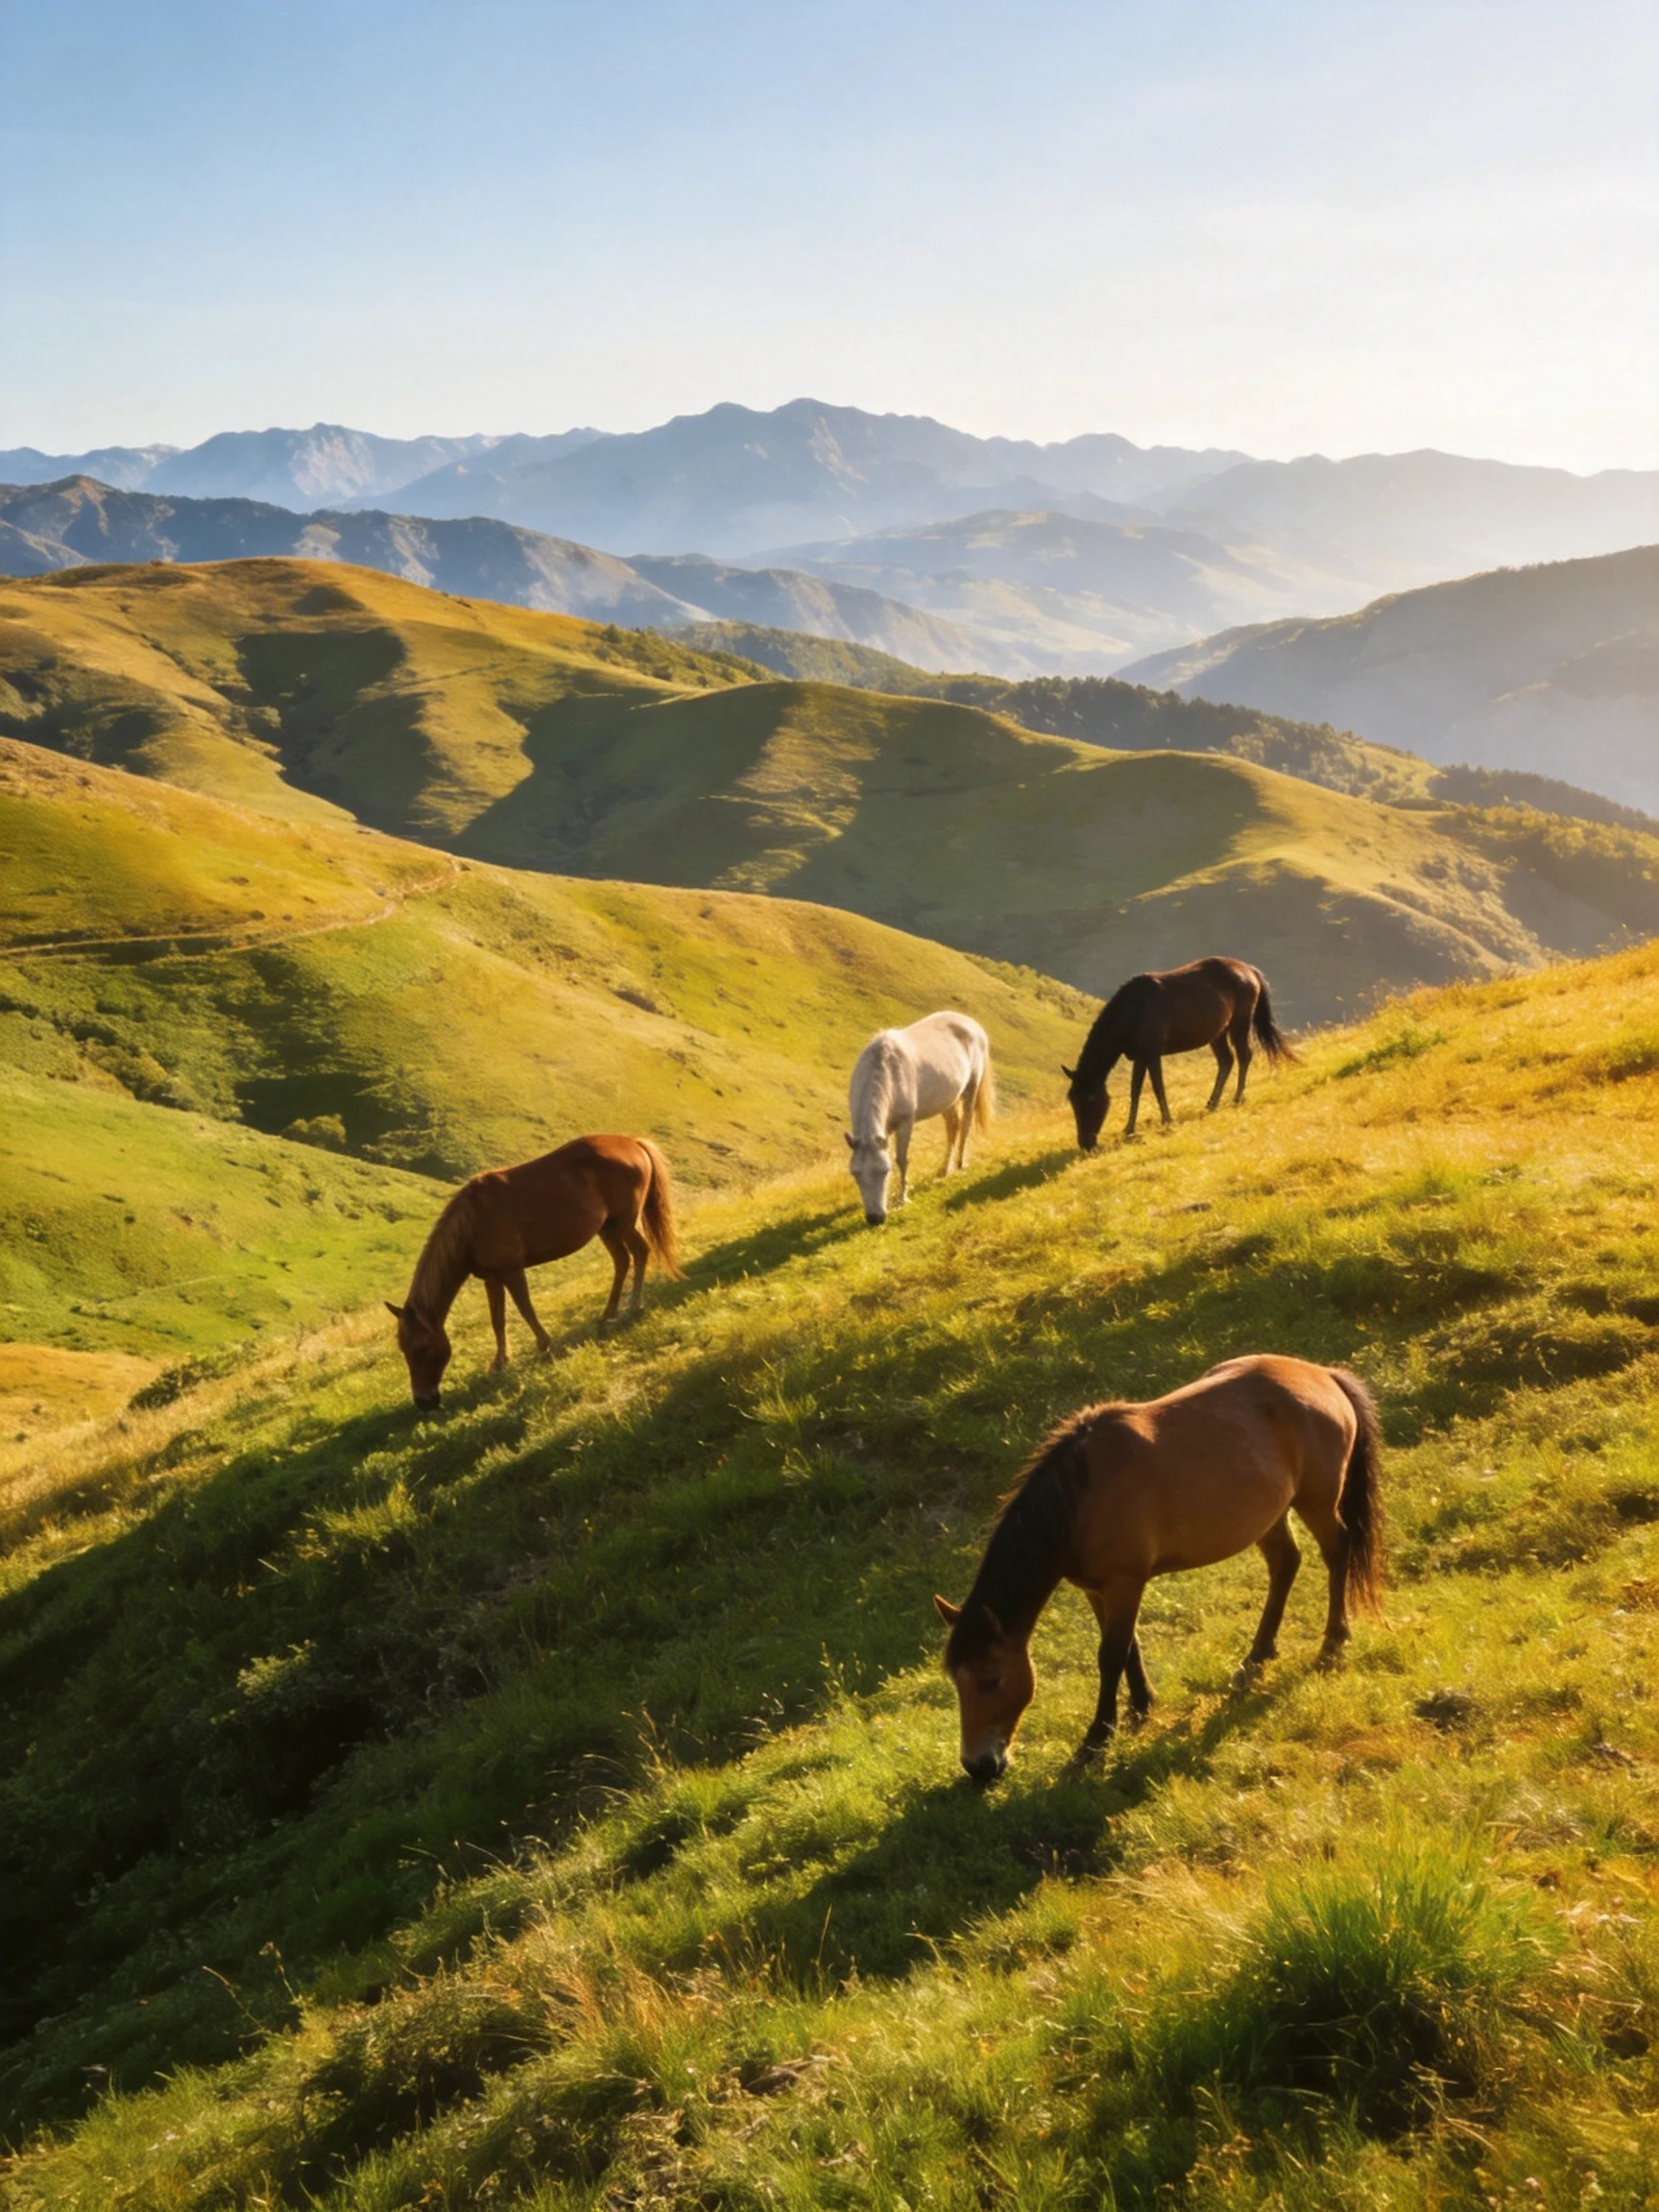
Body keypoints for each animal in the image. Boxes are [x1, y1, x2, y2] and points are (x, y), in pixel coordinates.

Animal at [386, 1135, 680, 1409]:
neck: (472, 1222)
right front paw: (500, 1363)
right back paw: (608, 1313)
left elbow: (525, 1308)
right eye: (404, 1349)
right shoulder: (491, 1278)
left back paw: (633, 1306)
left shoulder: (512, 1271)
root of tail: (633, 1142)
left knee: (640, 1252)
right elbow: (497, 1320)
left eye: (421, 1348)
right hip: (607, 1228)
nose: (423, 1402)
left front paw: (544, 1345)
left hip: (623, 1222)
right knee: (622, 1261)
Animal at [846, 1011, 994, 1225]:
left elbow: (901, 1160)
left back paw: (959, 1164)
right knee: (953, 1128)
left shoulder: (906, 1123)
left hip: (971, 1088)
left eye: (884, 1171)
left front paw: (902, 1198)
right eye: (855, 1174)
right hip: (947, 1100)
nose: (875, 1218)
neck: (886, 1071)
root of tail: (971, 1022)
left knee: (965, 1125)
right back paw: (943, 1170)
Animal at [933, 1355, 1383, 1781]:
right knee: (1286, 1564)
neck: (1082, 1497)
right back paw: (1256, 1656)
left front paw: (1097, 1739)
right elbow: (1127, 1646)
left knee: (1337, 1553)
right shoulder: (1097, 1588)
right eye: (956, 1680)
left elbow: (1111, 1654)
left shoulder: (1125, 1582)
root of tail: (1323, 1375)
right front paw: (1140, 1707)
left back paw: (1333, 1641)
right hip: (1269, 1515)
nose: (978, 1767)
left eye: (991, 1680)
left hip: (1317, 1502)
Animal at [1063, 956, 1294, 1146]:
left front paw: (1167, 1120)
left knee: (1244, 1056)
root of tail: (1249, 970)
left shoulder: (1153, 1053)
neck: (1133, 1011)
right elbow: (1135, 1090)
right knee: (1226, 1061)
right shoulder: (1139, 1056)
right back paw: (1211, 1104)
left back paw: (1236, 1099)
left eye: (1091, 1099)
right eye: (1072, 1100)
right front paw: (1129, 1129)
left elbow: (1158, 1087)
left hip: (1240, 1023)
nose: (1085, 1143)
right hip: (1218, 1032)